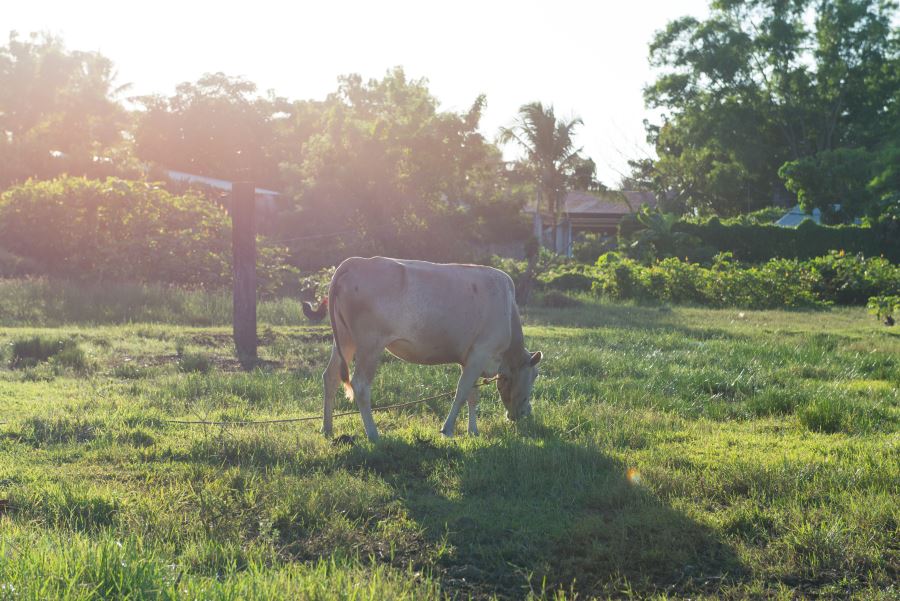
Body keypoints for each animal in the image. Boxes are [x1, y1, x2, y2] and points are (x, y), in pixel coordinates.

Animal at [322, 254, 540, 440]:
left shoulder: (471, 358)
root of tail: (356, 262)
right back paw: (373, 435)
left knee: (331, 376)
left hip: (344, 338)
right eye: (535, 375)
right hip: (370, 343)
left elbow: (472, 395)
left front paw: (473, 431)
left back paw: (327, 429)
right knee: (360, 384)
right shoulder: (481, 353)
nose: (526, 412)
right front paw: (448, 429)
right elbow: (462, 391)